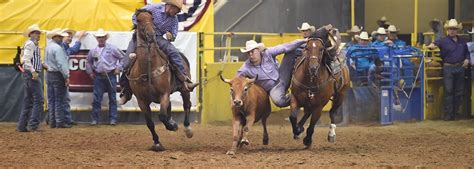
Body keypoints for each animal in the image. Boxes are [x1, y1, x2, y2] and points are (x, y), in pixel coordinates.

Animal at [129, 8, 193, 151]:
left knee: (186, 105)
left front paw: (172, 126)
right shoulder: (141, 101)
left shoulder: (164, 94)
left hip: (184, 89)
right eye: (139, 20)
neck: (148, 68)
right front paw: (157, 143)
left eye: (152, 19)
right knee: (170, 107)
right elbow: (150, 123)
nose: (151, 35)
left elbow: (162, 115)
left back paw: (187, 129)